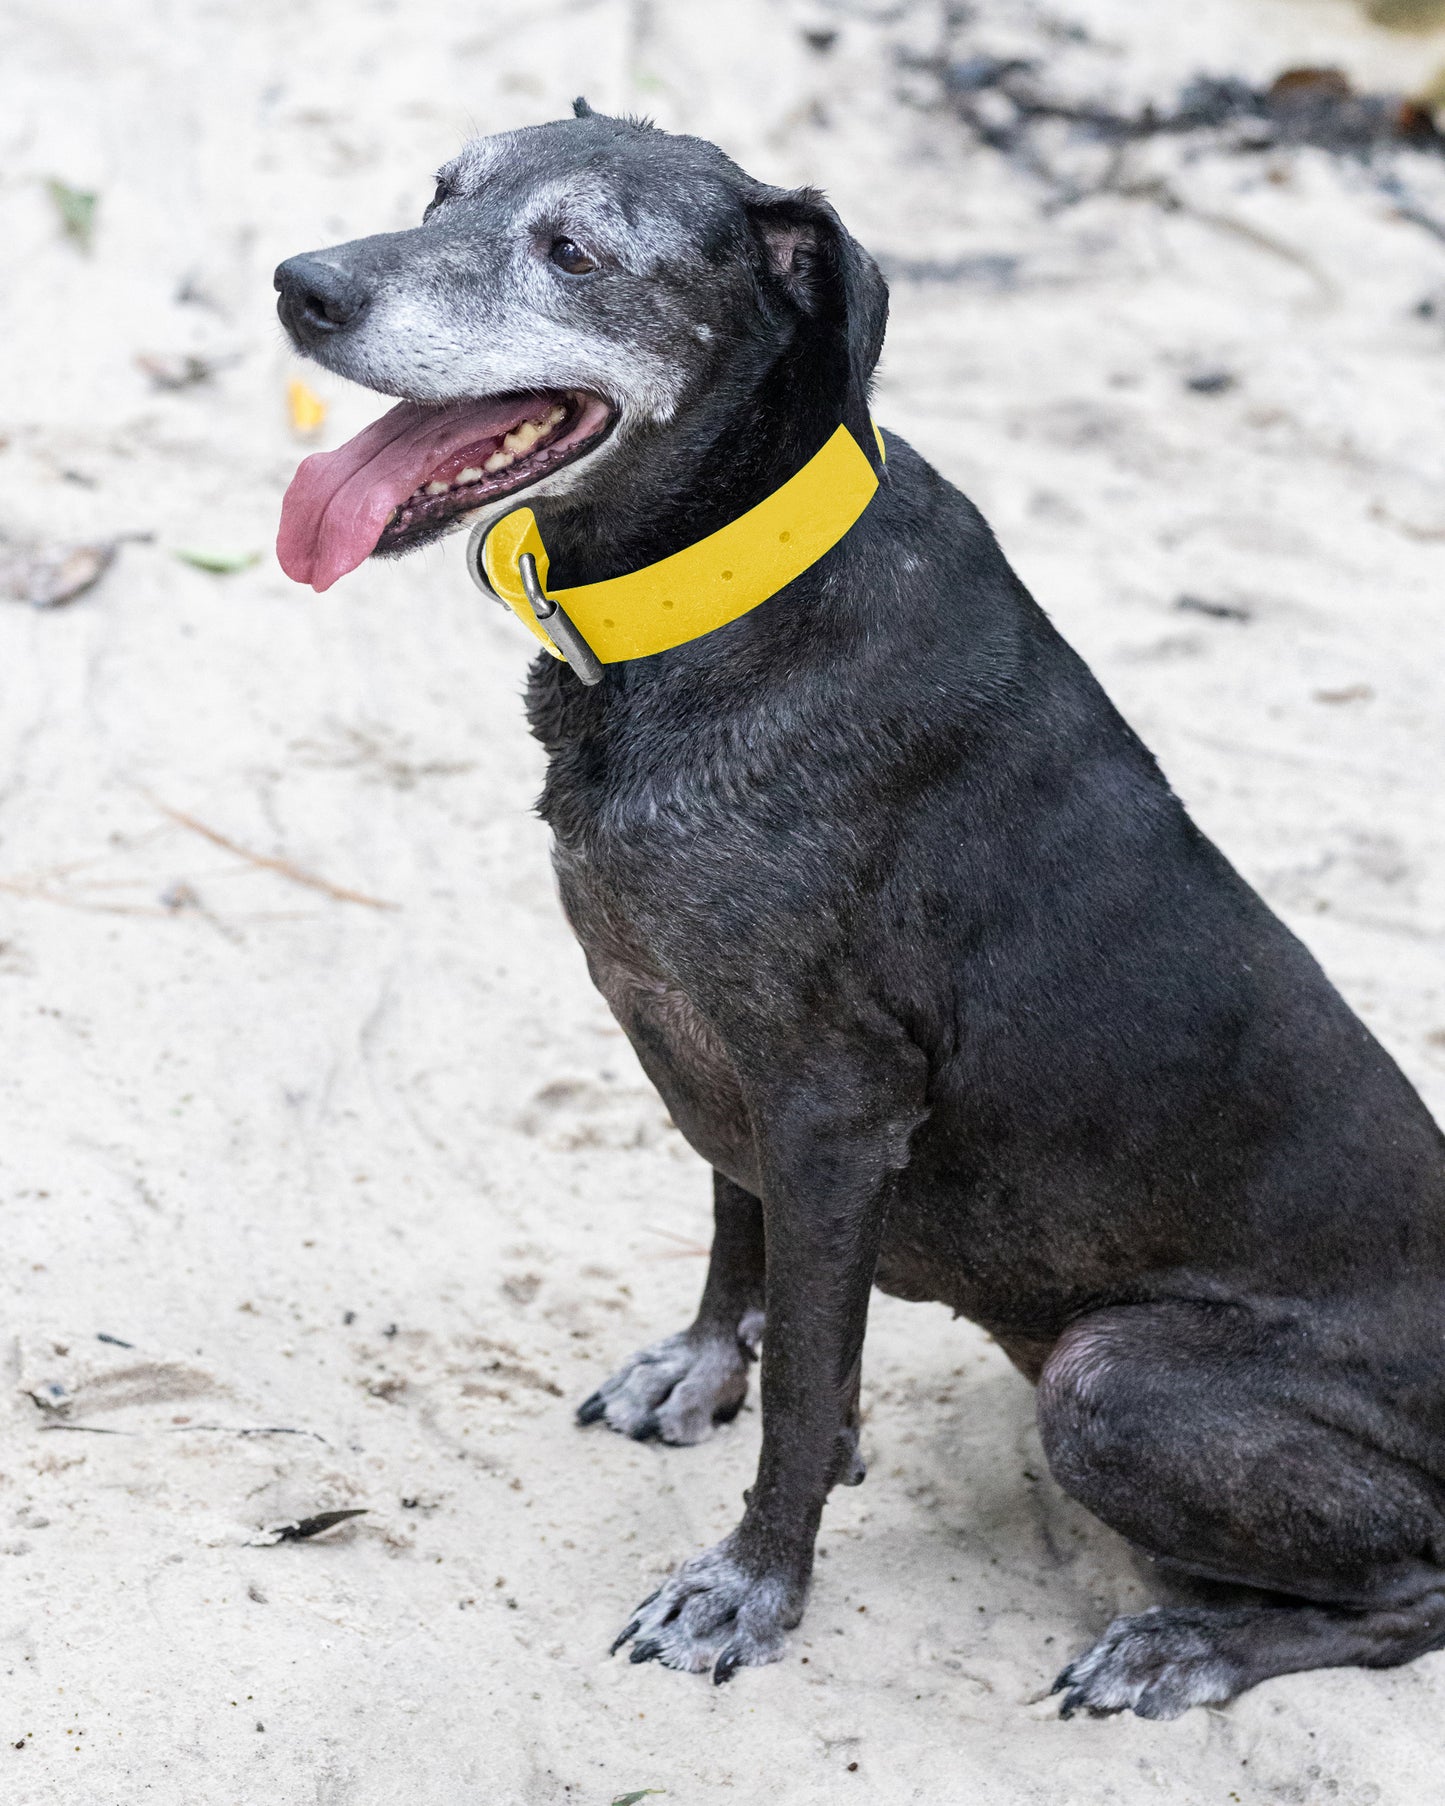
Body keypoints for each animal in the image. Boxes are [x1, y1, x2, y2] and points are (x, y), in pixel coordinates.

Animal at [276, 105, 1445, 1712]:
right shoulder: (717, 1057)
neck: (716, 594)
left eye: (572, 252)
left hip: (1110, 1379)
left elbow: (807, 1381)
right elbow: (736, 1233)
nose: (300, 287)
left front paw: (749, 1586)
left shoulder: (832, 1109)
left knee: (1413, 1587)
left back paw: (1193, 1641)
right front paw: (702, 1365)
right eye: (440, 189)